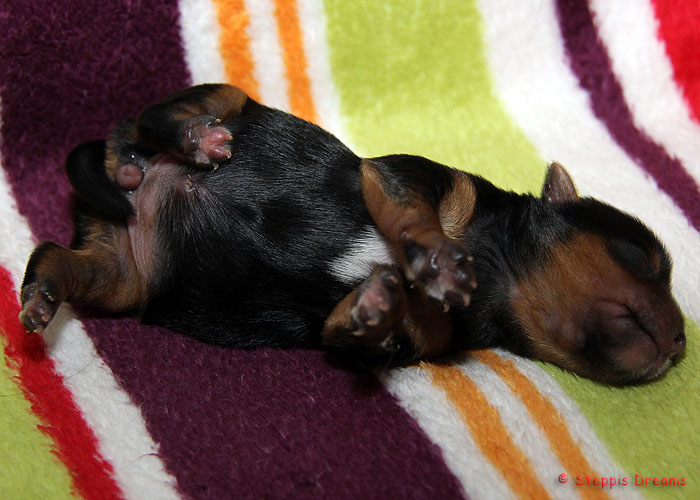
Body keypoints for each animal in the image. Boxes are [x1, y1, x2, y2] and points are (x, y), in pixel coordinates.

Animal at [19, 83, 686, 384]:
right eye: (649, 259)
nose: (681, 345)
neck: (494, 286)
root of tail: (126, 171)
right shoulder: (412, 177)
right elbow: (415, 216)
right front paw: (440, 259)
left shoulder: (412, 341)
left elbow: (352, 335)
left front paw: (373, 305)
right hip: (219, 99)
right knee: (167, 114)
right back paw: (194, 139)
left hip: (122, 275)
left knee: (60, 256)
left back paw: (42, 294)